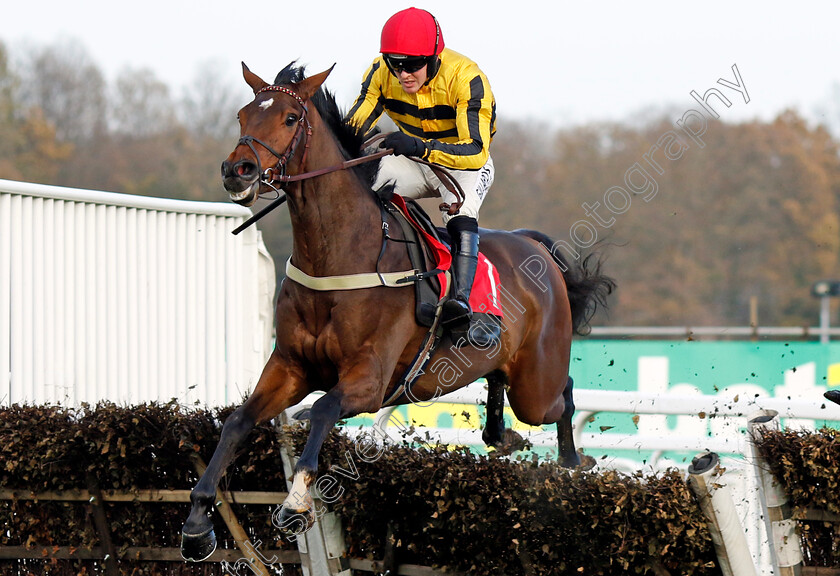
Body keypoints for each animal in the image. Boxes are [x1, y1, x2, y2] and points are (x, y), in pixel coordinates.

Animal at [180, 64, 612, 564]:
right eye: (242, 114)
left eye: (290, 117)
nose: (238, 170)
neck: (338, 254)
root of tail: (534, 244)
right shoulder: (290, 367)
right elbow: (237, 421)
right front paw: (197, 522)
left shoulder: (369, 379)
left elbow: (324, 410)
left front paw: (296, 501)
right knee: (500, 391)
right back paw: (504, 436)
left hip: (536, 385)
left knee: (564, 392)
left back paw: (573, 461)